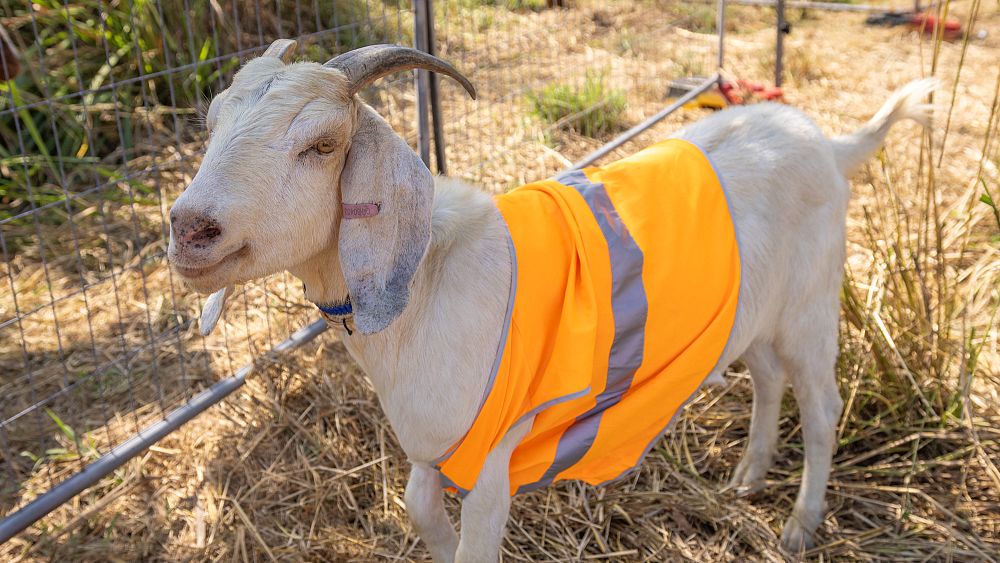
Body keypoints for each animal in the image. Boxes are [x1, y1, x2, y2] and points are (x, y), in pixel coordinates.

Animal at [168, 40, 932, 560]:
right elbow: (417, 504)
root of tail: (828, 143)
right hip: (758, 314)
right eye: (211, 122)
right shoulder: (434, 441)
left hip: (811, 307)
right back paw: (748, 475)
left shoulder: (494, 455)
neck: (428, 283)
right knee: (770, 377)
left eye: (324, 144)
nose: (189, 228)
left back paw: (799, 525)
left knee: (823, 407)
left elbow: (471, 541)